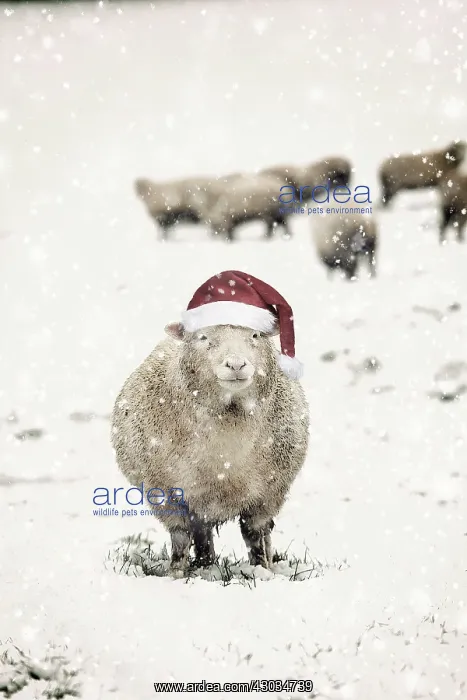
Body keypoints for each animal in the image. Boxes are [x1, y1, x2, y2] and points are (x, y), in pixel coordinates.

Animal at [111, 317, 309, 578]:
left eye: (255, 335)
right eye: (203, 337)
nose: (236, 364)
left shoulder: (267, 493)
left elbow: (253, 534)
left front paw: (260, 569)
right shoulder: (166, 493)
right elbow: (180, 536)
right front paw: (176, 572)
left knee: (264, 532)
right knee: (201, 532)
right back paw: (205, 565)